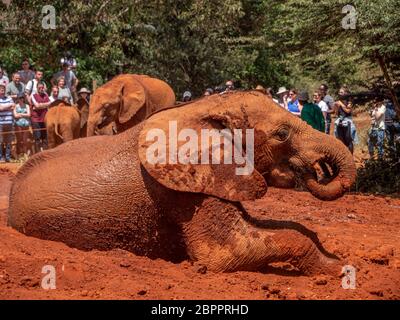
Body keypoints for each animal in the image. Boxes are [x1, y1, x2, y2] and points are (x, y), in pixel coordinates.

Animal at [7, 90, 354, 276]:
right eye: (282, 134)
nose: (319, 169)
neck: (200, 108)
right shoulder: (181, 191)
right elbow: (225, 254)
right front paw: (340, 270)